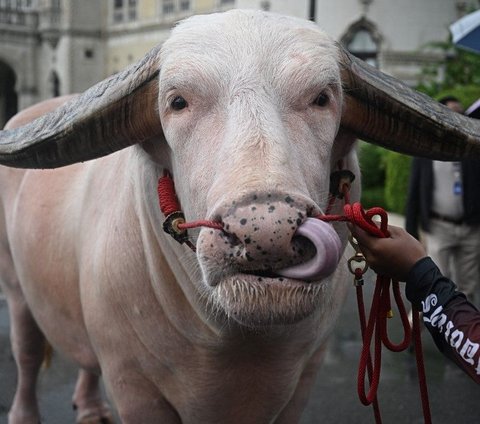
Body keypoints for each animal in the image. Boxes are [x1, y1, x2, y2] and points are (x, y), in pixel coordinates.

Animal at [0, 9, 480, 424]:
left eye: (323, 97)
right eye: (177, 101)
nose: (267, 232)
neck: (235, 345)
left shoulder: (303, 378)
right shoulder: (132, 386)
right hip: (17, 290)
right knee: (26, 354)